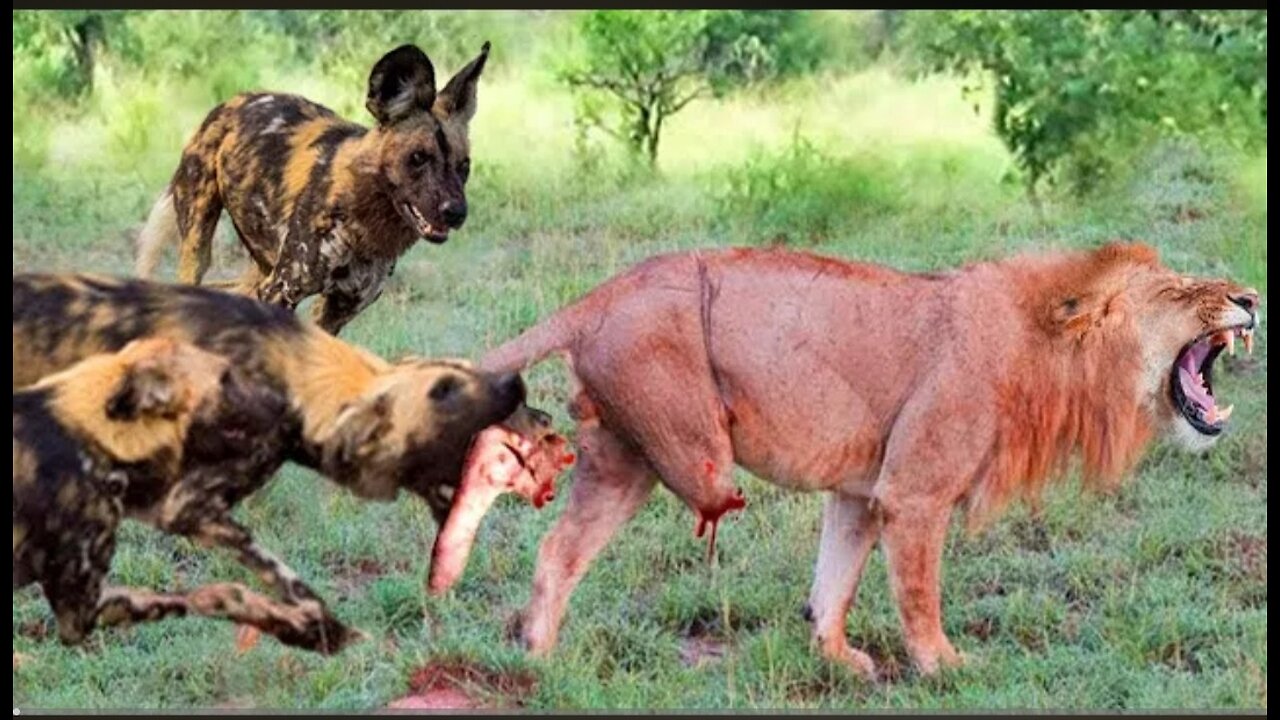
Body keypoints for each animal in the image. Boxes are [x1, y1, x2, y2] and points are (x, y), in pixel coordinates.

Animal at [472, 241, 1260, 680]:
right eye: (1177, 291)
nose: (1251, 296)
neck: (1046, 351)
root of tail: (604, 291)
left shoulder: (859, 491)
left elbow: (835, 579)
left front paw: (835, 658)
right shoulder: (914, 492)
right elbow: (918, 591)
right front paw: (942, 667)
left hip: (623, 461)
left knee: (558, 551)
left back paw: (538, 661)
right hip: (681, 442)